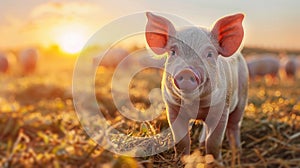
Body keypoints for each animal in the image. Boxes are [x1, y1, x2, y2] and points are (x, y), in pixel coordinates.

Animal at [145, 12, 248, 162]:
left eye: (209, 54)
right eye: (173, 52)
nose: (187, 71)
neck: (194, 105)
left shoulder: (222, 108)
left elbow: (214, 141)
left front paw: (217, 163)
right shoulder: (172, 108)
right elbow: (181, 140)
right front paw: (181, 160)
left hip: (243, 95)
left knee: (234, 125)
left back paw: (238, 152)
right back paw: (201, 144)